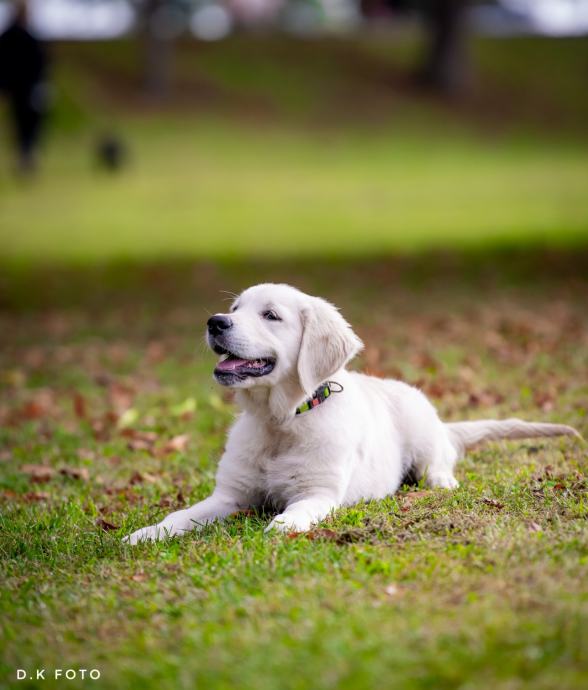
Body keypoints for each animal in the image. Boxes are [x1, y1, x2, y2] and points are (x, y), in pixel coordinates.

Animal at [124, 280, 580, 544]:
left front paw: (284, 525)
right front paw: (147, 533)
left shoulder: (319, 492)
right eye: (235, 309)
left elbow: (298, 508)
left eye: (271, 315)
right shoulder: (229, 495)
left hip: (422, 429)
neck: (280, 422)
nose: (215, 321)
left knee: (438, 464)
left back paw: (442, 480)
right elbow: (183, 513)